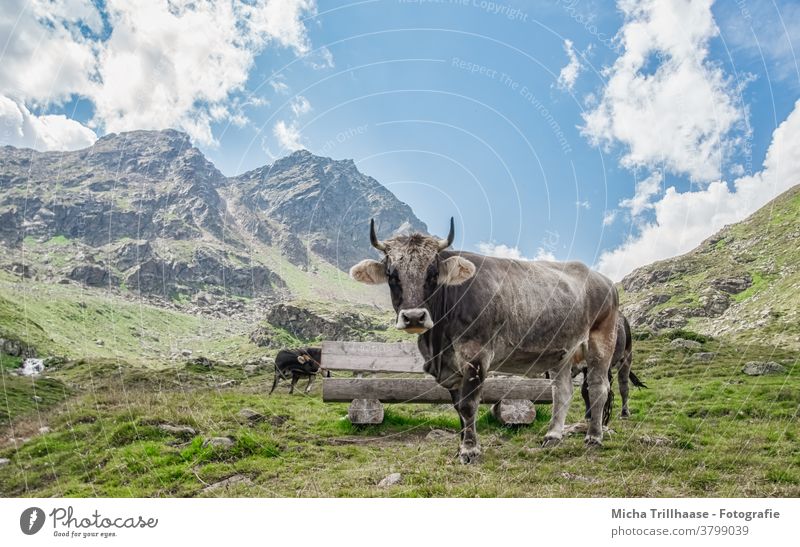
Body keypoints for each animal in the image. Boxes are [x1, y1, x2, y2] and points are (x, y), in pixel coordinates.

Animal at [348, 217, 620, 462]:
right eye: (391, 275)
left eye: (433, 274)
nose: (414, 317)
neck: (438, 344)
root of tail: (603, 279)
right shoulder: (451, 368)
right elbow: (458, 408)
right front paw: (461, 447)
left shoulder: (475, 356)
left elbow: (469, 405)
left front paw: (470, 450)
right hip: (561, 352)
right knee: (562, 392)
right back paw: (552, 436)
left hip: (601, 341)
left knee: (598, 388)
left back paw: (593, 438)